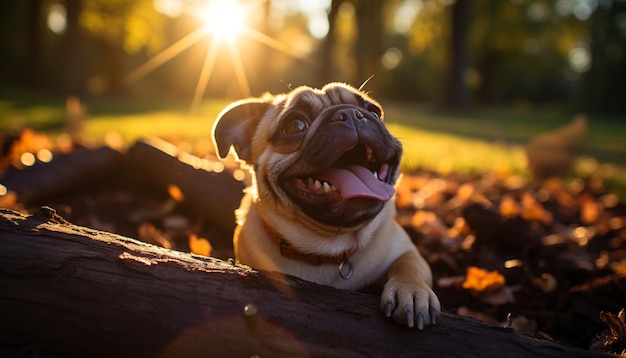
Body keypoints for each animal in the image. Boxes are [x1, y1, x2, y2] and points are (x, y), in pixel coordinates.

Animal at [213, 82, 438, 328]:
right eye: (295, 125)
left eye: (374, 111)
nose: (350, 113)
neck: (331, 249)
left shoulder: (407, 251)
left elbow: (409, 265)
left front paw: (411, 291)